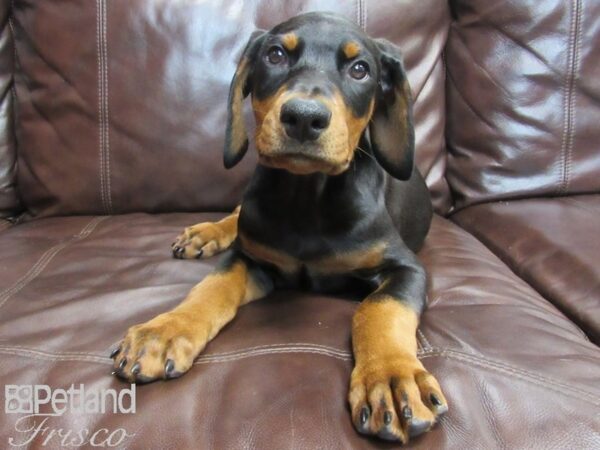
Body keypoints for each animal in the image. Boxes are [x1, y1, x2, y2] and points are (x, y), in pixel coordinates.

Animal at [113, 11, 450, 442]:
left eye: (360, 69)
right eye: (275, 55)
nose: (304, 117)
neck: (306, 198)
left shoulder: (407, 267)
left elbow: (379, 309)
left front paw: (390, 377)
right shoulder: (250, 255)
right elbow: (211, 287)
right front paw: (164, 331)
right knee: (238, 212)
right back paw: (206, 233)